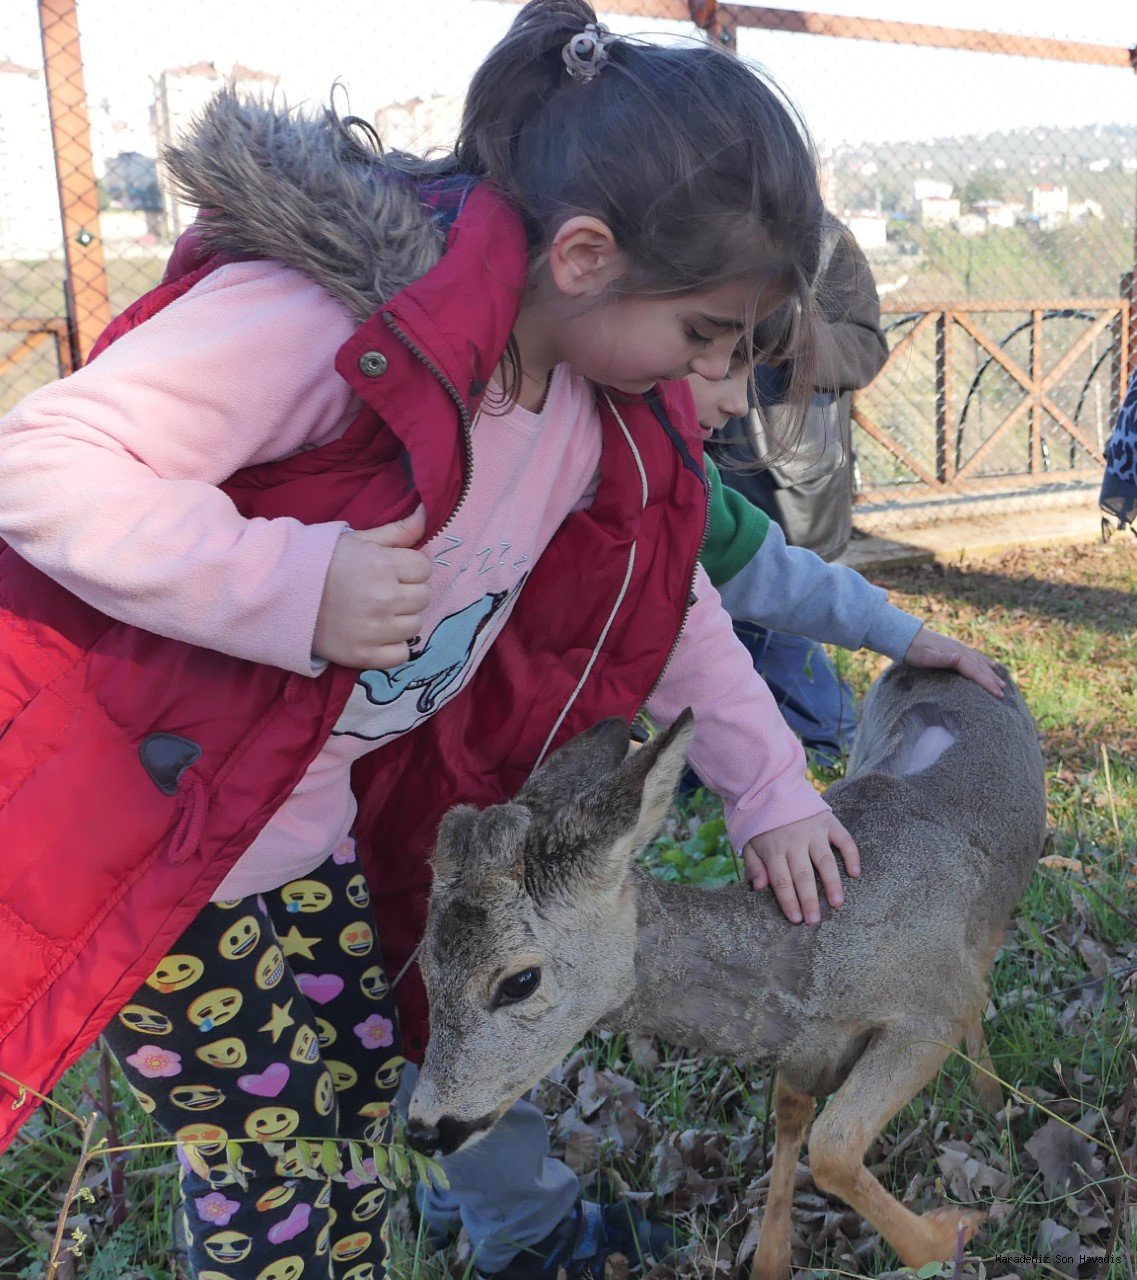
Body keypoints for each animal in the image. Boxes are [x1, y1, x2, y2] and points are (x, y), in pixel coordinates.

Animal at [407, 665, 1049, 1274]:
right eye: (425, 968)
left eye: (519, 981)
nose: (422, 1128)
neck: (813, 965)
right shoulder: (805, 1049)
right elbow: (794, 1121)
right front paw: (772, 1259)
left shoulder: (931, 1005)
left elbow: (835, 1143)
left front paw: (953, 1230)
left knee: (982, 978)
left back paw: (993, 1101)